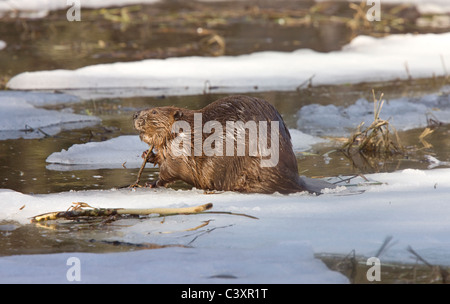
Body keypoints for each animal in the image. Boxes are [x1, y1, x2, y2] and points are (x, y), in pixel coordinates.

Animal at [132, 95, 336, 195]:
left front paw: (151, 182)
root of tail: (296, 180)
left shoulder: (181, 148)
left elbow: (172, 169)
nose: (134, 114)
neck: (188, 129)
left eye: (154, 111)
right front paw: (147, 155)